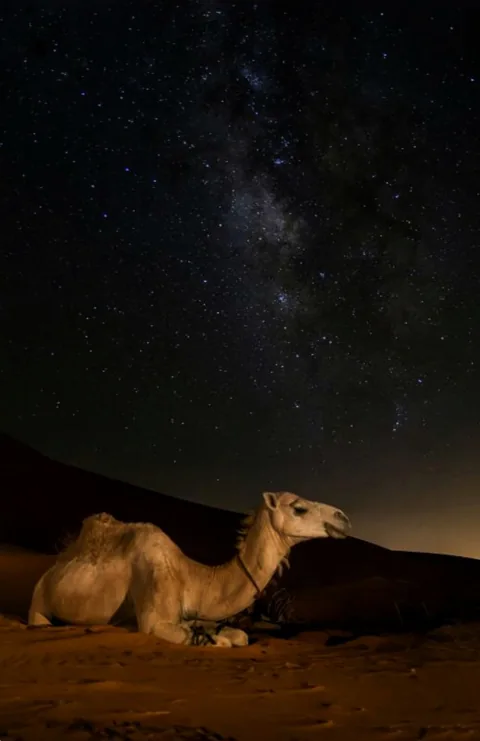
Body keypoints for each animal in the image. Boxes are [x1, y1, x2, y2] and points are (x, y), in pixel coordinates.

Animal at [28, 491, 351, 647]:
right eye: (299, 508)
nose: (343, 518)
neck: (191, 576)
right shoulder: (155, 620)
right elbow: (215, 640)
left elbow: (239, 635)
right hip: (39, 600)